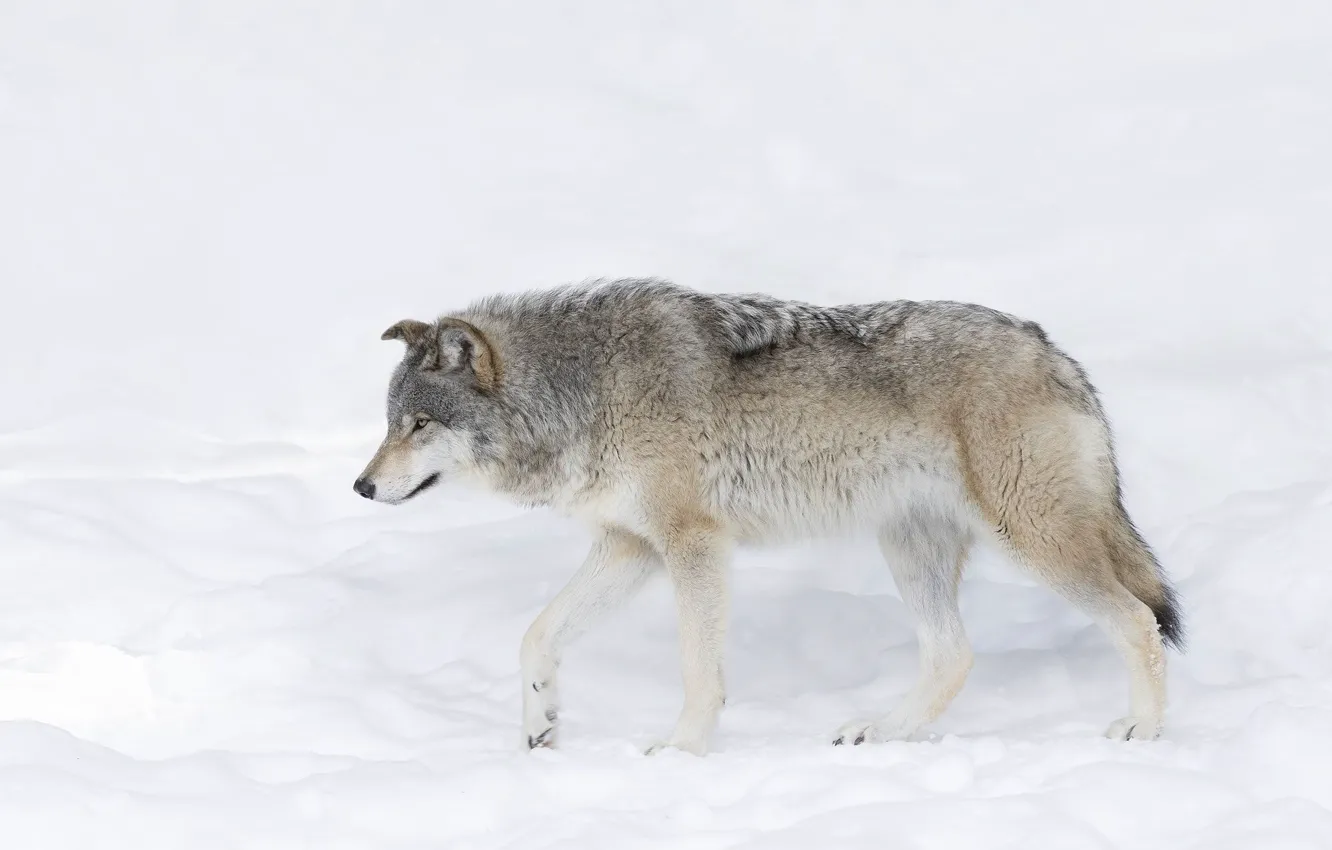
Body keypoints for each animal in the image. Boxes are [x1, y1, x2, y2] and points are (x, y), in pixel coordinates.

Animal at [354, 278, 1183, 755]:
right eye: (390, 423)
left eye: (420, 425)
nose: (361, 486)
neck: (585, 392)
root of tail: (1055, 351)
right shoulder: (631, 548)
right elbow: (536, 636)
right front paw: (538, 723)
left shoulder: (692, 544)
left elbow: (699, 670)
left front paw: (681, 752)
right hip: (909, 546)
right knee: (954, 654)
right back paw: (881, 732)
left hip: (1030, 536)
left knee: (1138, 621)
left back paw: (1143, 731)